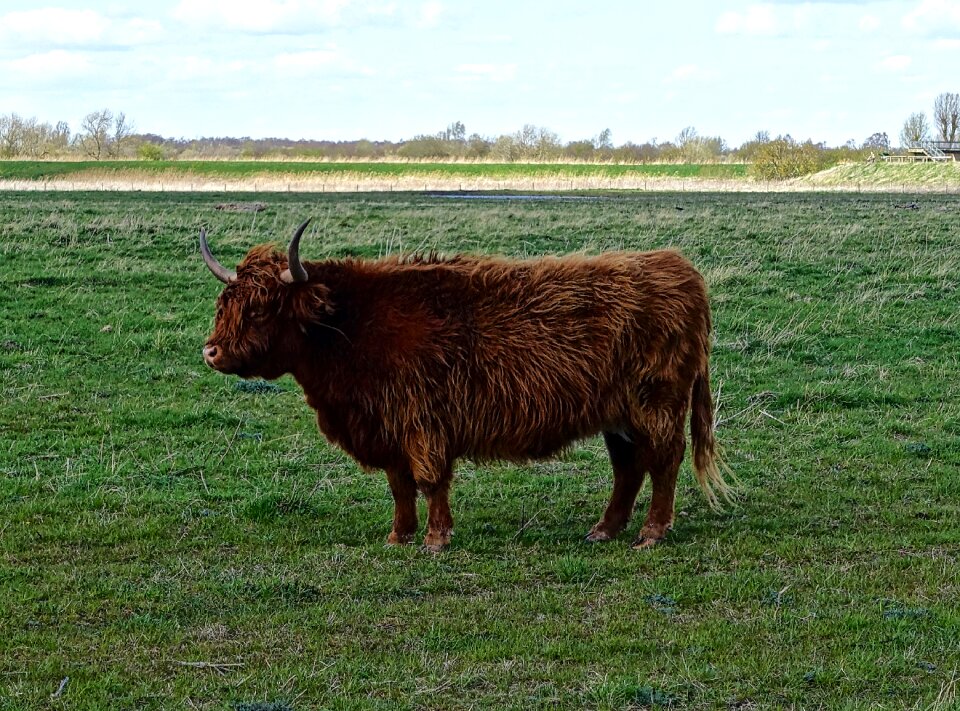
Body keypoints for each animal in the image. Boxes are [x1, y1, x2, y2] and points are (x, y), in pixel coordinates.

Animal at [199, 220, 732, 552]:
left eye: (260, 308)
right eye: (226, 302)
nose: (212, 352)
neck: (350, 325)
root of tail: (680, 269)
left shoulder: (422, 420)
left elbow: (430, 480)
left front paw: (436, 539)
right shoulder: (387, 426)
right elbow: (399, 485)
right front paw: (399, 536)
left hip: (656, 403)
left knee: (664, 461)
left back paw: (652, 533)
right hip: (618, 414)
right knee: (628, 468)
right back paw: (603, 530)